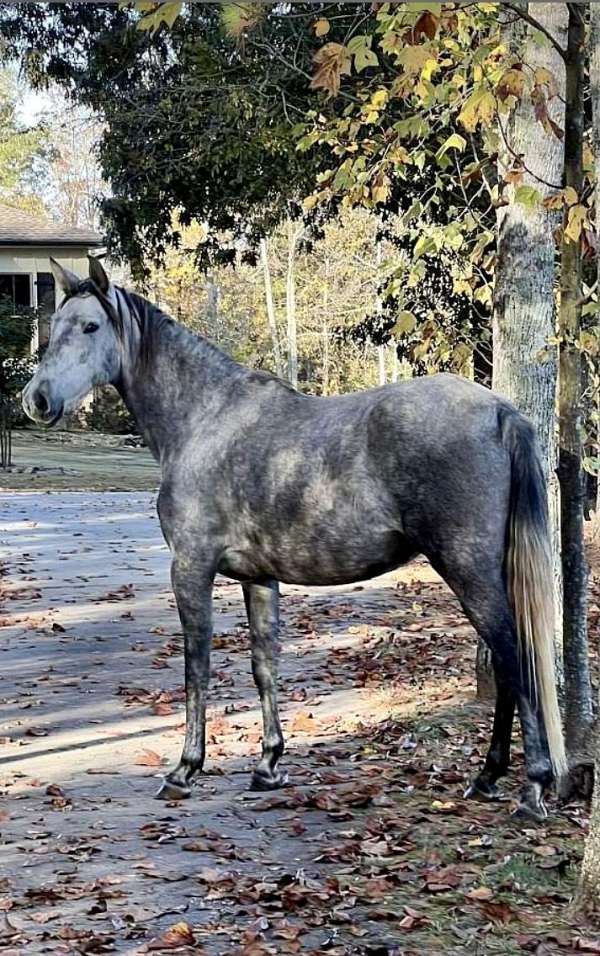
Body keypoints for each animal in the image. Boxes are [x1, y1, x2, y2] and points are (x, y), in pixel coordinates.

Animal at [21, 255, 567, 822]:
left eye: (91, 326)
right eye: (55, 324)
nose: (36, 400)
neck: (204, 420)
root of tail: (500, 411)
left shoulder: (190, 568)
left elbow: (198, 666)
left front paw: (185, 770)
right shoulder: (259, 578)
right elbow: (265, 665)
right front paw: (268, 765)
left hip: (466, 568)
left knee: (514, 658)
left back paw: (532, 787)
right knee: (506, 661)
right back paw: (487, 778)